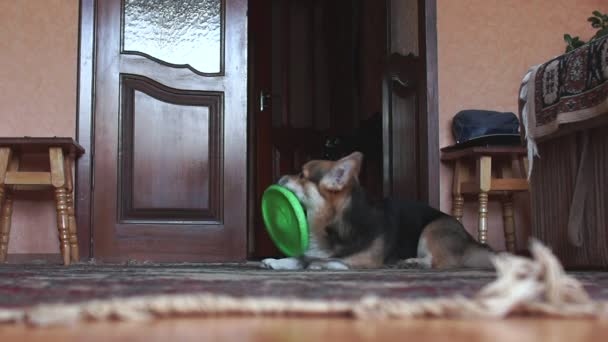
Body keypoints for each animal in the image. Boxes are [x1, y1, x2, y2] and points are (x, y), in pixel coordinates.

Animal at [262, 152, 494, 270]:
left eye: (302, 175)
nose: (279, 176)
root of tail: (469, 239)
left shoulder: (365, 260)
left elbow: (320, 260)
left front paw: (319, 266)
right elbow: (303, 257)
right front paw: (277, 261)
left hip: (432, 229)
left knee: (440, 262)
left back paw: (413, 262)